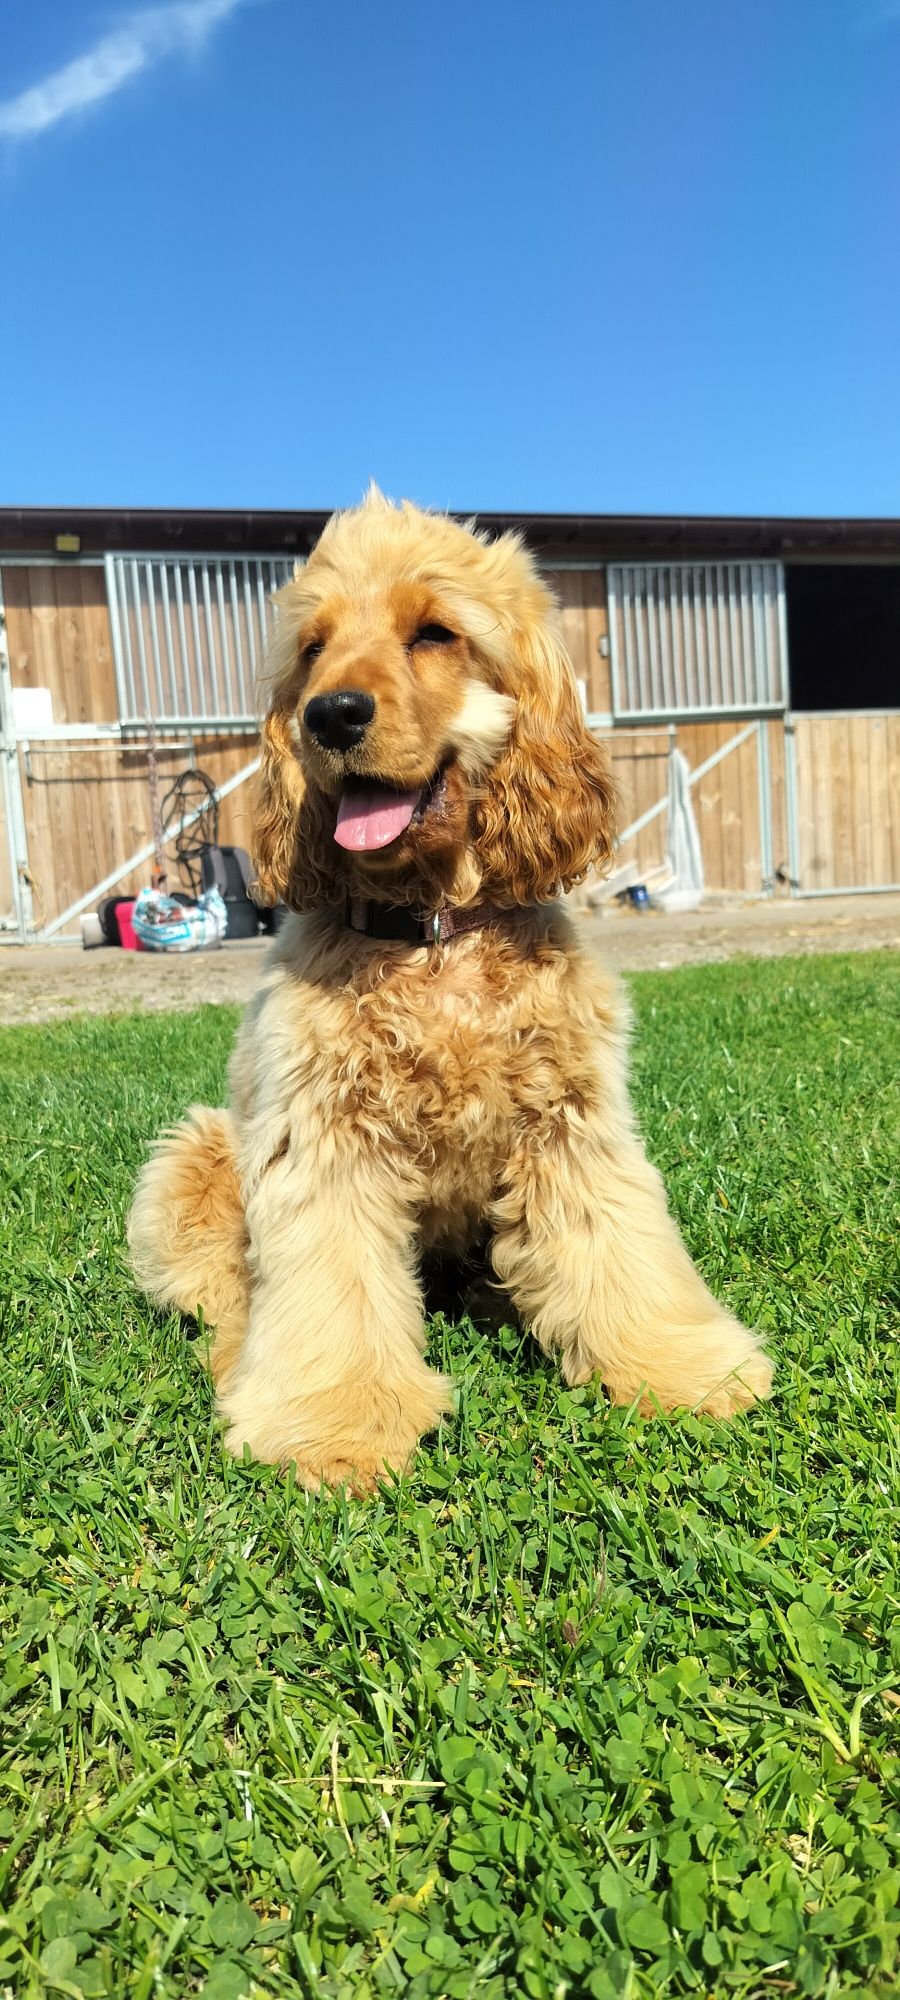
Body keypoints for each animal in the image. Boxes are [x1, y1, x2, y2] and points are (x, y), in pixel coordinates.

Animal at [128, 488, 772, 1488]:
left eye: (434, 632)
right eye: (312, 647)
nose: (330, 715)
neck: (432, 936)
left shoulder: (571, 1123)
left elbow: (619, 1249)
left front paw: (684, 1370)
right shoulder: (321, 1139)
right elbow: (326, 1290)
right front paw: (335, 1428)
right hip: (198, 1153)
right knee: (229, 1298)